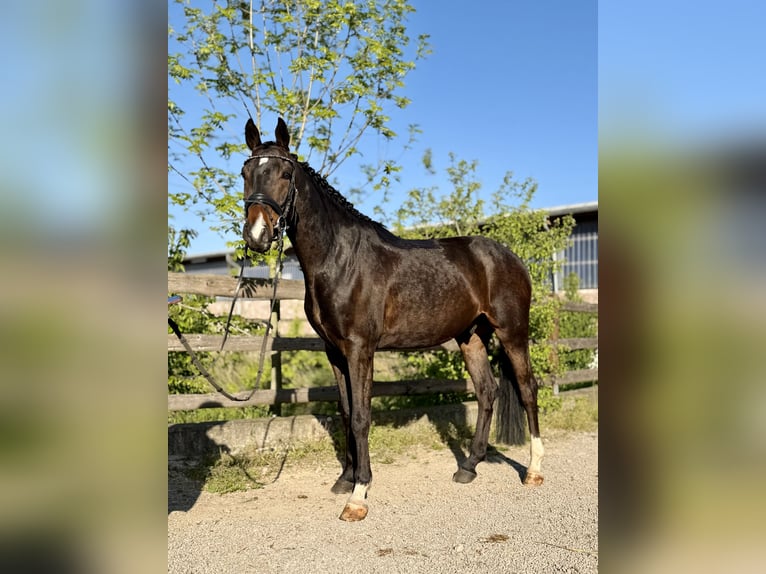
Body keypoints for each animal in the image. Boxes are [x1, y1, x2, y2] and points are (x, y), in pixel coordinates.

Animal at [241, 118, 544, 521]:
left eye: (285, 174)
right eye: (245, 173)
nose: (257, 235)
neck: (340, 259)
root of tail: (510, 257)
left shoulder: (360, 349)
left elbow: (361, 417)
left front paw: (358, 495)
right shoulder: (334, 351)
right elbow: (345, 411)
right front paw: (345, 479)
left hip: (512, 332)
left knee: (527, 389)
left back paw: (535, 471)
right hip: (472, 336)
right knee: (487, 392)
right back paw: (468, 467)